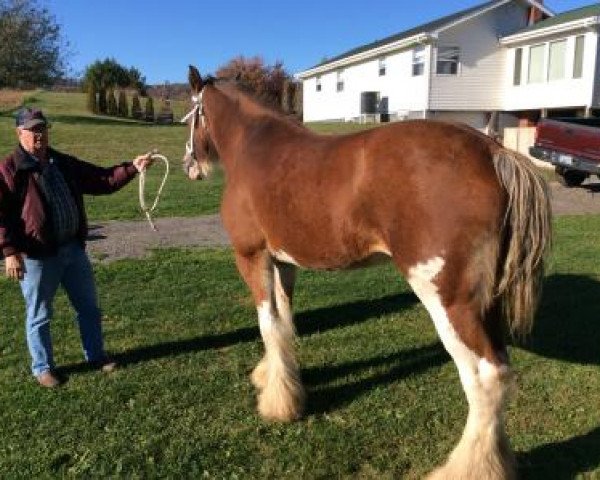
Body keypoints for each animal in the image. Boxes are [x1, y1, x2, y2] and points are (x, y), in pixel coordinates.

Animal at [180, 64, 552, 480]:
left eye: (189, 117)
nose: (188, 165)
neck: (254, 146)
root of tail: (492, 151)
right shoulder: (284, 262)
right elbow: (285, 321)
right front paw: (277, 378)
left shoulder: (252, 256)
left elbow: (268, 324)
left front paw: (278, 404)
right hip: (486, 302)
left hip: (449, 302)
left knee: (487, 378)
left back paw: (467, 467)